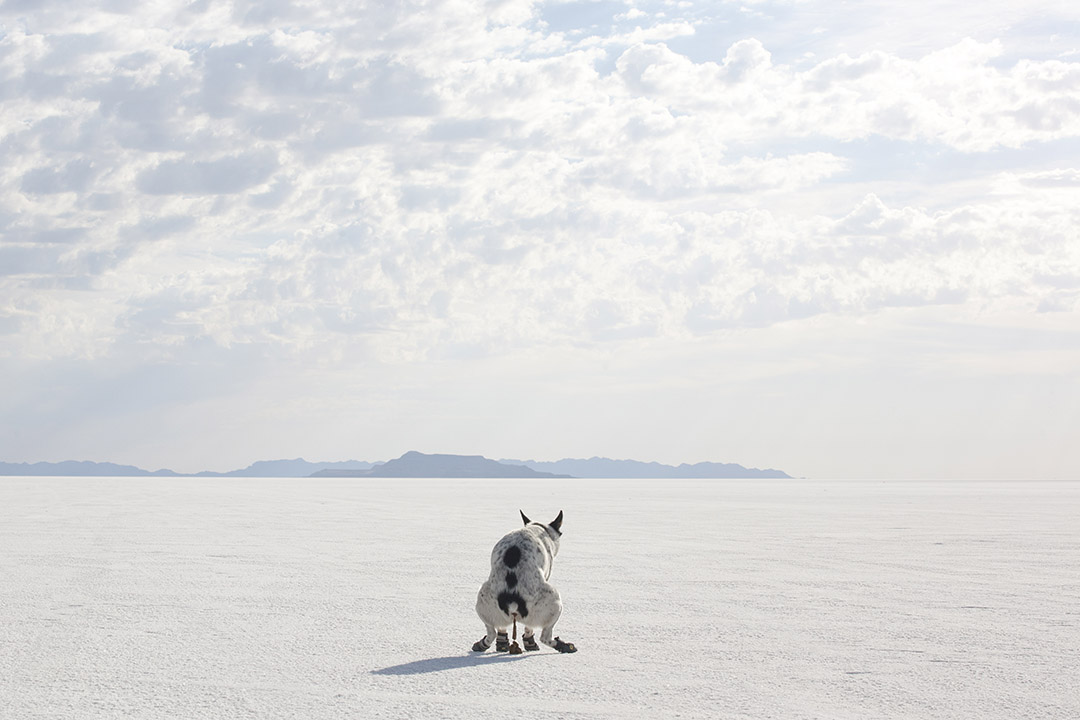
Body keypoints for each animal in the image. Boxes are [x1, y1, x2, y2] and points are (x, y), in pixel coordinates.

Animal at [470, 509, 578, 656]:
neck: (536, 528)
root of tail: (512, 600)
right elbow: (529, 629)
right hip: (555, 602)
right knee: (544, 637)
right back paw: (563, 645)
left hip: (483, 603)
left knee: (492, 632)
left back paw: (483, 644)